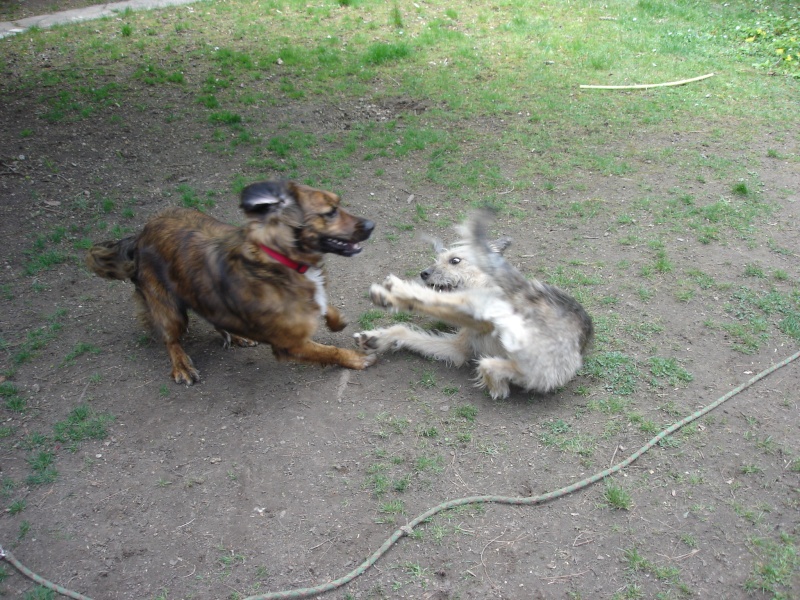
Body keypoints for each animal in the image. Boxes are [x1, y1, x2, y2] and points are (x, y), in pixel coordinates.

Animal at [86, 180, 380, 384]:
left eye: (339, 203)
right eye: (330, 212)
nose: (371, 225)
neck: (281, 260)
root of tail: (140, 234)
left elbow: (323, 304)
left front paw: (336, 320)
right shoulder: (289, 344)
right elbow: (330, 351)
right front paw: (356, 358)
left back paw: (238, 335)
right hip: (170, 309)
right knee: (171, 340)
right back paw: (182, 366)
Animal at [354, 211, 592, 398]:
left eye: (455, 260)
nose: (424, 273)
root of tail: (528, 294)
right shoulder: (459, 348)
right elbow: (409, 334)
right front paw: (378, 338)